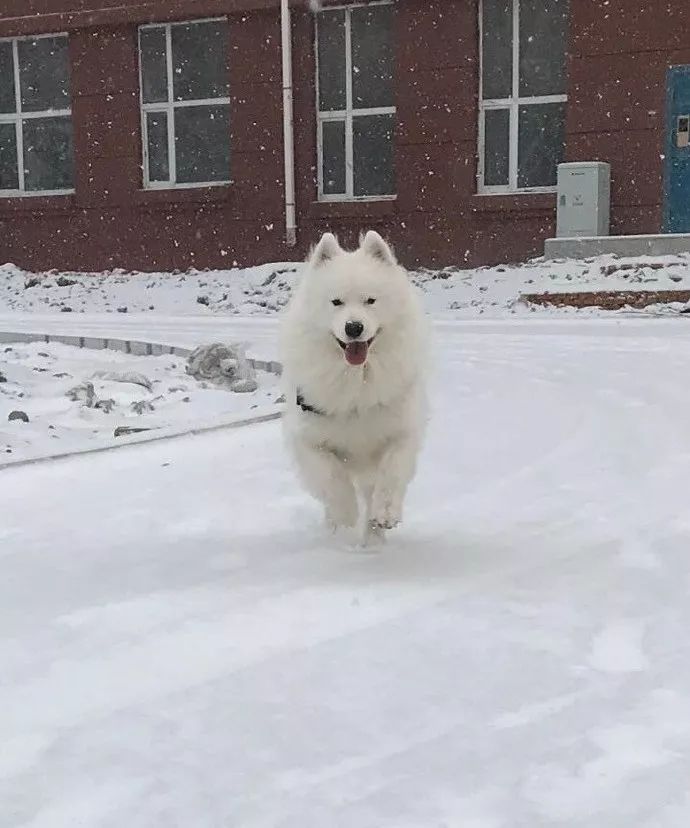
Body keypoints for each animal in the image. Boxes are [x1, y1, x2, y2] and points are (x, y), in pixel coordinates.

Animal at [278, 230, 424, 548]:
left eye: (371, 300)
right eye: (336, 302)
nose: (354, 327)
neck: (357, 380)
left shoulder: (401, 431)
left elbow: (392, 473)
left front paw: (385, 514)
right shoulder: (309, 438)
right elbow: (332, 477)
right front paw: (345, 516)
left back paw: (373, 540)